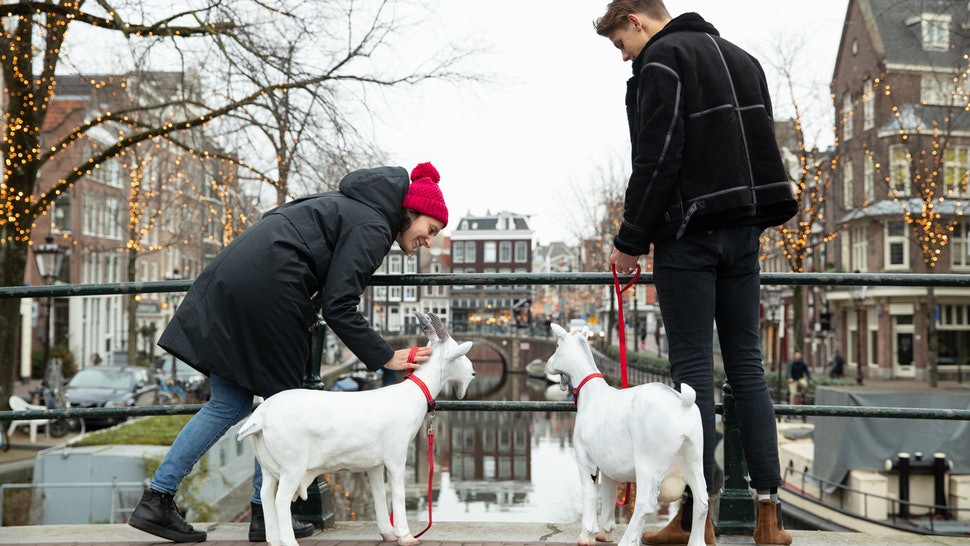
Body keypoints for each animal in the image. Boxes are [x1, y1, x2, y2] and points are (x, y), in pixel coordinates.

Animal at [236, 310, 474, 544]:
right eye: (458, 353)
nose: (472, 372)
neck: (411, 393)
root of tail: (261, 416)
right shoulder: (396, 457)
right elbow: (398, 494)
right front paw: (405, 536)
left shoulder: (375, 465)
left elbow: (380, 495)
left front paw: (387, 533)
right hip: (292, 466)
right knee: (281, 499)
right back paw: (289, 541)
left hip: (268, 466)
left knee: (266, 495)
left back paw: (274, 540)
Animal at [544, 320, 704, 544]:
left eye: (557, 345)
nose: (547, 364)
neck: (592, 393)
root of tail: (683, 404)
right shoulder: (609, 466)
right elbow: (609, 495)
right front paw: (605, 532)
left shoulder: (585, 460)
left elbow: (590, 494)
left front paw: (586, 535)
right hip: (694, 457)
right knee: (702, 499)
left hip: (649, 463)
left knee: (645, 503)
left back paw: (628, 540)